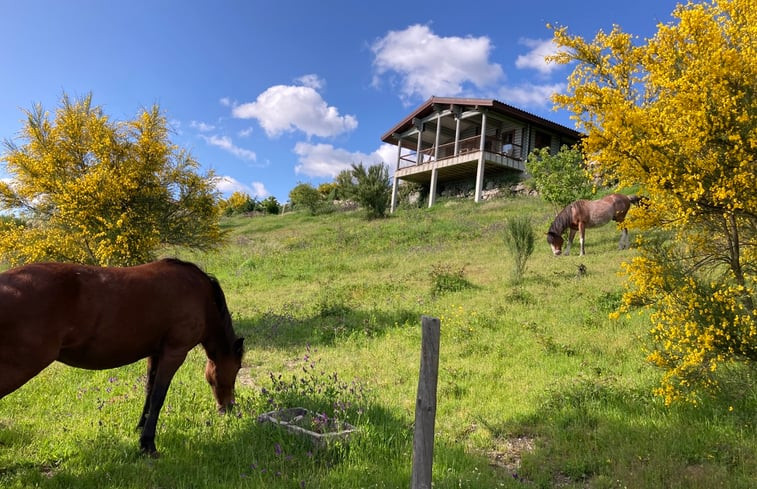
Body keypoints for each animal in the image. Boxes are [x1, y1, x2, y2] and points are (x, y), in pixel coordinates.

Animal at [0, 258, 242, 456]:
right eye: (237, 369)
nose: (229, 408)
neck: (201, 295)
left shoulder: (156, 353)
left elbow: (149, 391)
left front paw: (141, 429)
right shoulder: (174, 352)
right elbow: (158, 397)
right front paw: (147, 444)